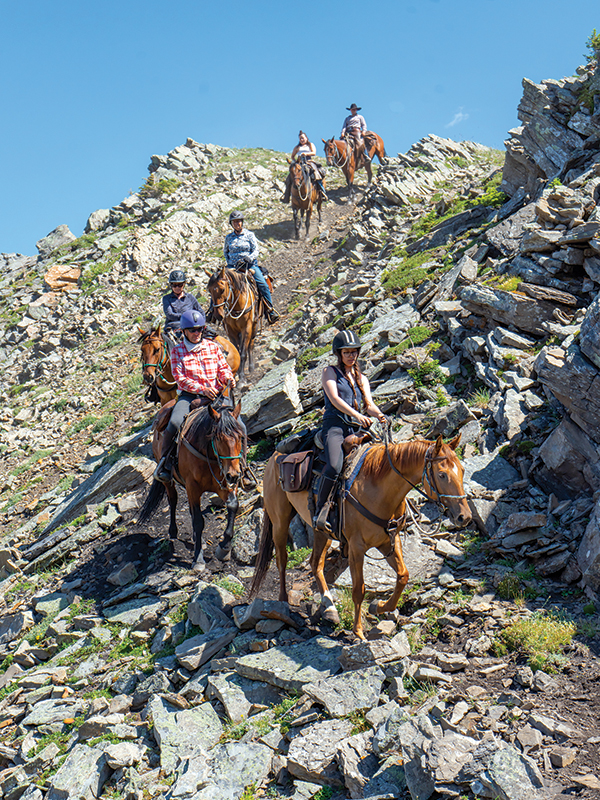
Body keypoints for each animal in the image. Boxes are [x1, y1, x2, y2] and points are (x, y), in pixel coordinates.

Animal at [137, 396, 245, 571]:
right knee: (173, 500)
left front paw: (224, 547)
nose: (234, 475)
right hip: (169, 480)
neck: (209, 456)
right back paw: (173, 530)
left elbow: (233, 506)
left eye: (240, 437)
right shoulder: (192, 487)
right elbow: (198, 521)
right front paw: (198, 559)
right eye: (218, 437)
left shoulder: (225, 485)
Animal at [250, 435, 471, 639]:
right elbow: (359, 589)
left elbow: (403, 576)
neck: (378, 490)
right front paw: (358, 631)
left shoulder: (389, 541)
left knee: (315, 563)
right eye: (442, 475)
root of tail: (275, 456)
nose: (465, 517)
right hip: (279, 521)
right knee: (282, 559)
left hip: (322, 532)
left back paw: (329, 608)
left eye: (462, 470)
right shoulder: (357, 547)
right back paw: (283, 601)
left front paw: (379, 606)